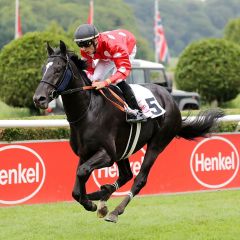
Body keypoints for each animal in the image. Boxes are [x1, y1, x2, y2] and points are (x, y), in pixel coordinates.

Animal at [33, 40, 223, 222]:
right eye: (43, 69)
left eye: (58, 69)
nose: (38, 98)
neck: (88, 110)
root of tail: (171, 100)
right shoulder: (85, 153)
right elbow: (77, 187)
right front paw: (93, 199)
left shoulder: (107, 154)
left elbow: (82, 173)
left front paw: (90, 203)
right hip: (123, 149)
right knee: (126, 174)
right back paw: (104, 194)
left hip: (156, 143)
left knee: (139, 179)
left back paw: (115, 211)